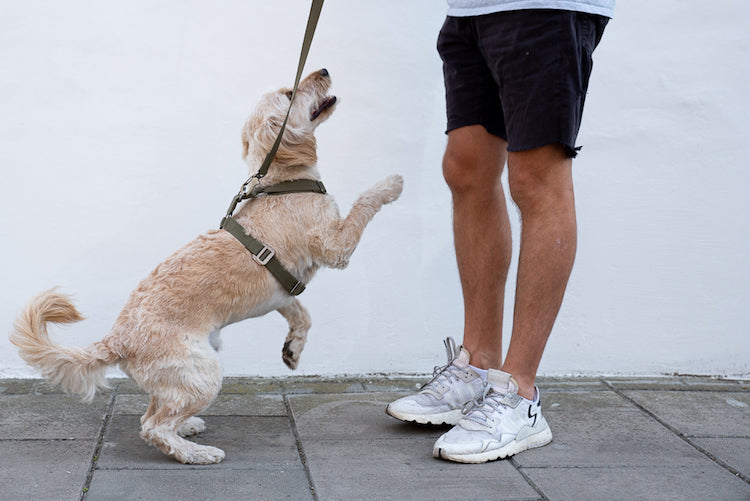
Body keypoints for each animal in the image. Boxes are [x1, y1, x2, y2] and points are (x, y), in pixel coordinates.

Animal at [8, 68, 406, 462]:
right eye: (289, 92)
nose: (323, 70)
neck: (284, 183)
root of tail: (116, 339)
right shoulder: (335, 245)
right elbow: (363, 203)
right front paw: (391, 184)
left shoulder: (284, 294)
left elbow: (303, 316)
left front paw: (293, 349)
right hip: (203, 372)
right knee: (153, 426)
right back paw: (196, 453)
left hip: (181, 376)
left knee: (154, 412)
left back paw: (187, 429)